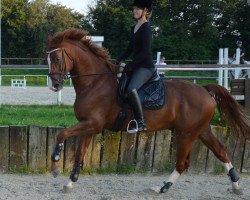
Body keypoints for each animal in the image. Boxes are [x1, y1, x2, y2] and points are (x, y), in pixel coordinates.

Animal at [47, 28, 250, 195]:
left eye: (57, 59)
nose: (54, 85)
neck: (95, 83)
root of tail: (204, 90)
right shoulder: (88, 126)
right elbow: (79, 154)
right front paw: (70, 183)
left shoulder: (92, 124)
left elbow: (61, 134)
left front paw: (55, 165)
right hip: (201, 130)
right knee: (221, 151)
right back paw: (236, 185)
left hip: (185, 133)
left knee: (183, 162)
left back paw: (161, 187)